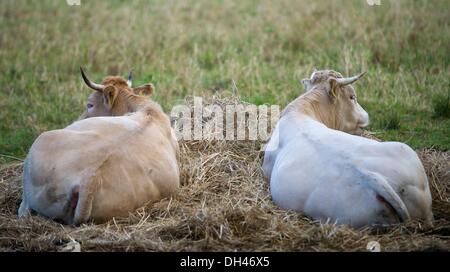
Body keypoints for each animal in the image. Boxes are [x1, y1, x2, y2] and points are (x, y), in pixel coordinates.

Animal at [18, 68, 179, 225]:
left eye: (90, 104)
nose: (77, 120)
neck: (148, 111)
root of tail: (89, 179)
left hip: (39, 145)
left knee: (24, 209)